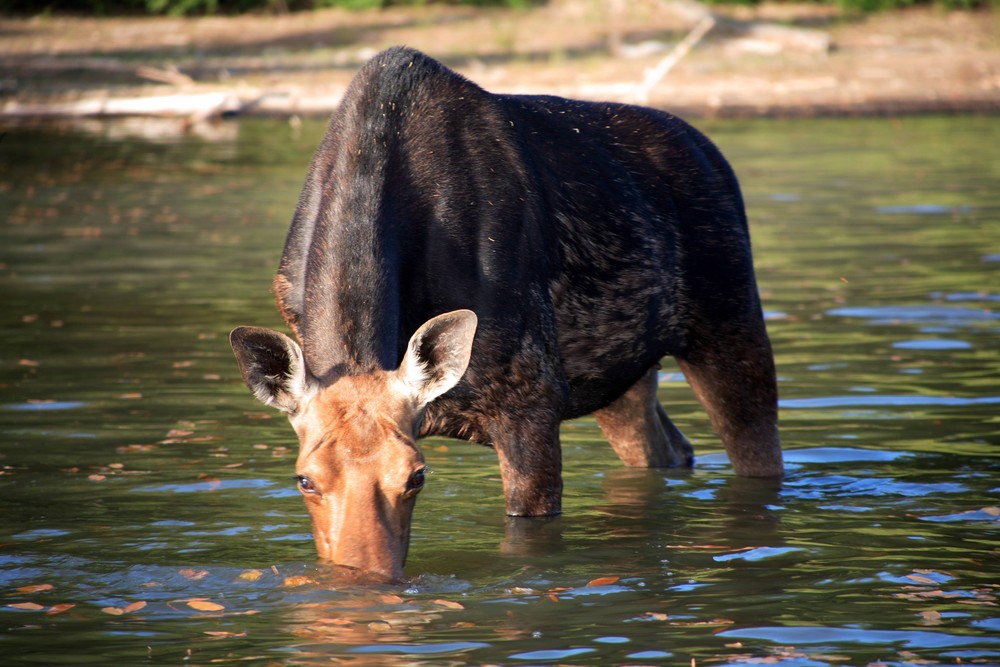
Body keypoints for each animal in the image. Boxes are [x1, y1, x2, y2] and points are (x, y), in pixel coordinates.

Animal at [232, 47, 780, 580]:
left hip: (730, 320)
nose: (365, 580)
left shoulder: (531, 402)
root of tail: (711, 152)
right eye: (304, 478)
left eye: (416, 474)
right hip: (618, 372)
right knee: (670, 449)